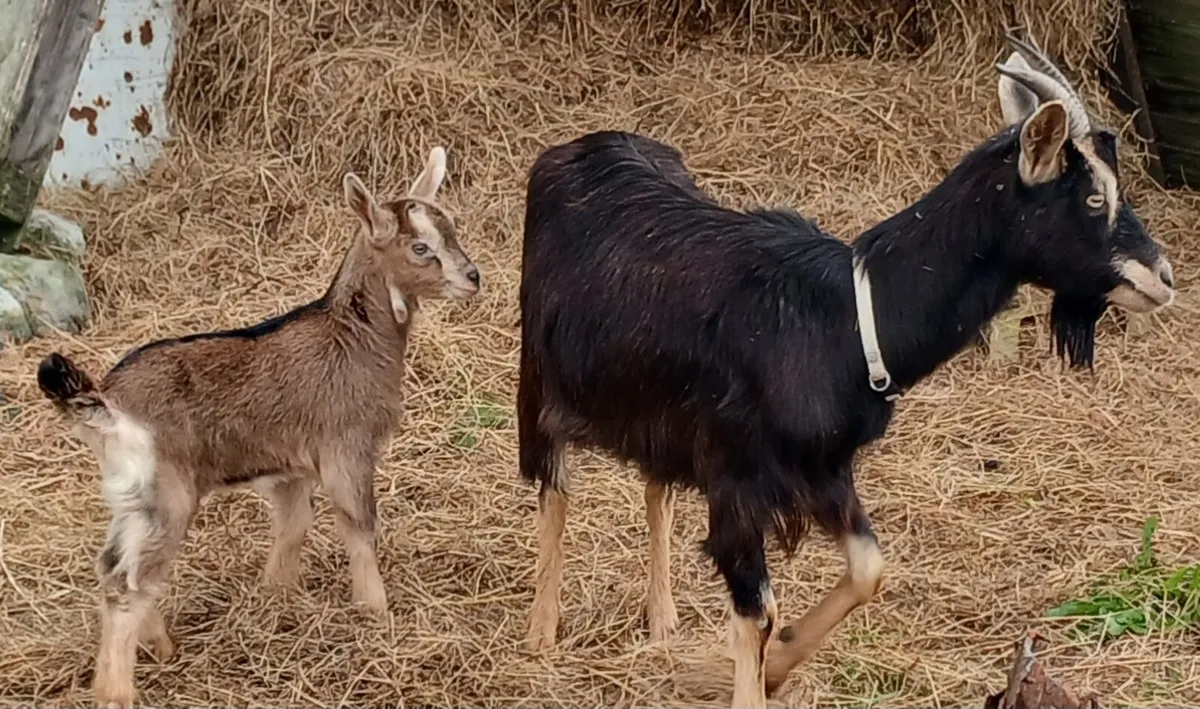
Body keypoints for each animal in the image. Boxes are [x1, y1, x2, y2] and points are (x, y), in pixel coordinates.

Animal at [36, 146, 480, 709]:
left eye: (453, 228)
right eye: (421, 247)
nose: (474, 278)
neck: (351, 337)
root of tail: (108, 404)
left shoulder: (291, 467)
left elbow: (293, 527)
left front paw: (278, 599)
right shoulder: (347, 449)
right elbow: (360, 526)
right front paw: (375, 612)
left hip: (133, 499)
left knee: (114, 566)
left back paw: (162, 647)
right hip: (166, 496)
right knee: (128, 583)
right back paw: (117, 693)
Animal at [516, 35, 1175, 708]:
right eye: (1093, 198)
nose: (1164, 277)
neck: (850, 320)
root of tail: (588, 145)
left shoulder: (824, 470)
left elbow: (868, 570)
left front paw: (779, 665)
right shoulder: (738, 479)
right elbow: (758, 612)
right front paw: (753, 677)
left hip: (657, 413)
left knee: (656, 488)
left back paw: (663, 619)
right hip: (540, 378)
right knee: (554, 486)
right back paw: (541, 632)